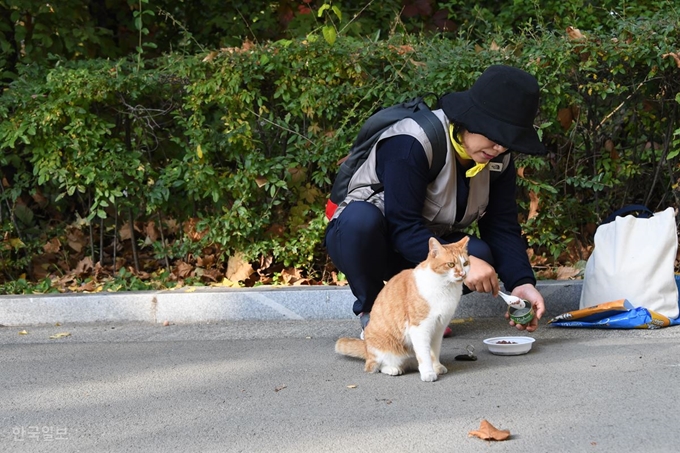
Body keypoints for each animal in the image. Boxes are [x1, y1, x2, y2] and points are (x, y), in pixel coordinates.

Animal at [334, 237, 468, 382]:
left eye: (465, 263)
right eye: (451, 264)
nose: (462, 273)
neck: (446, 288)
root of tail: (366, 347)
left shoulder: (439, 328)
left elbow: (434, 351)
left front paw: (436, 366)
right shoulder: (420, 328)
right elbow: (424, 355)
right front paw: (428, 372)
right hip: (381, 350)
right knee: (375, 366)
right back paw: (392, 369)